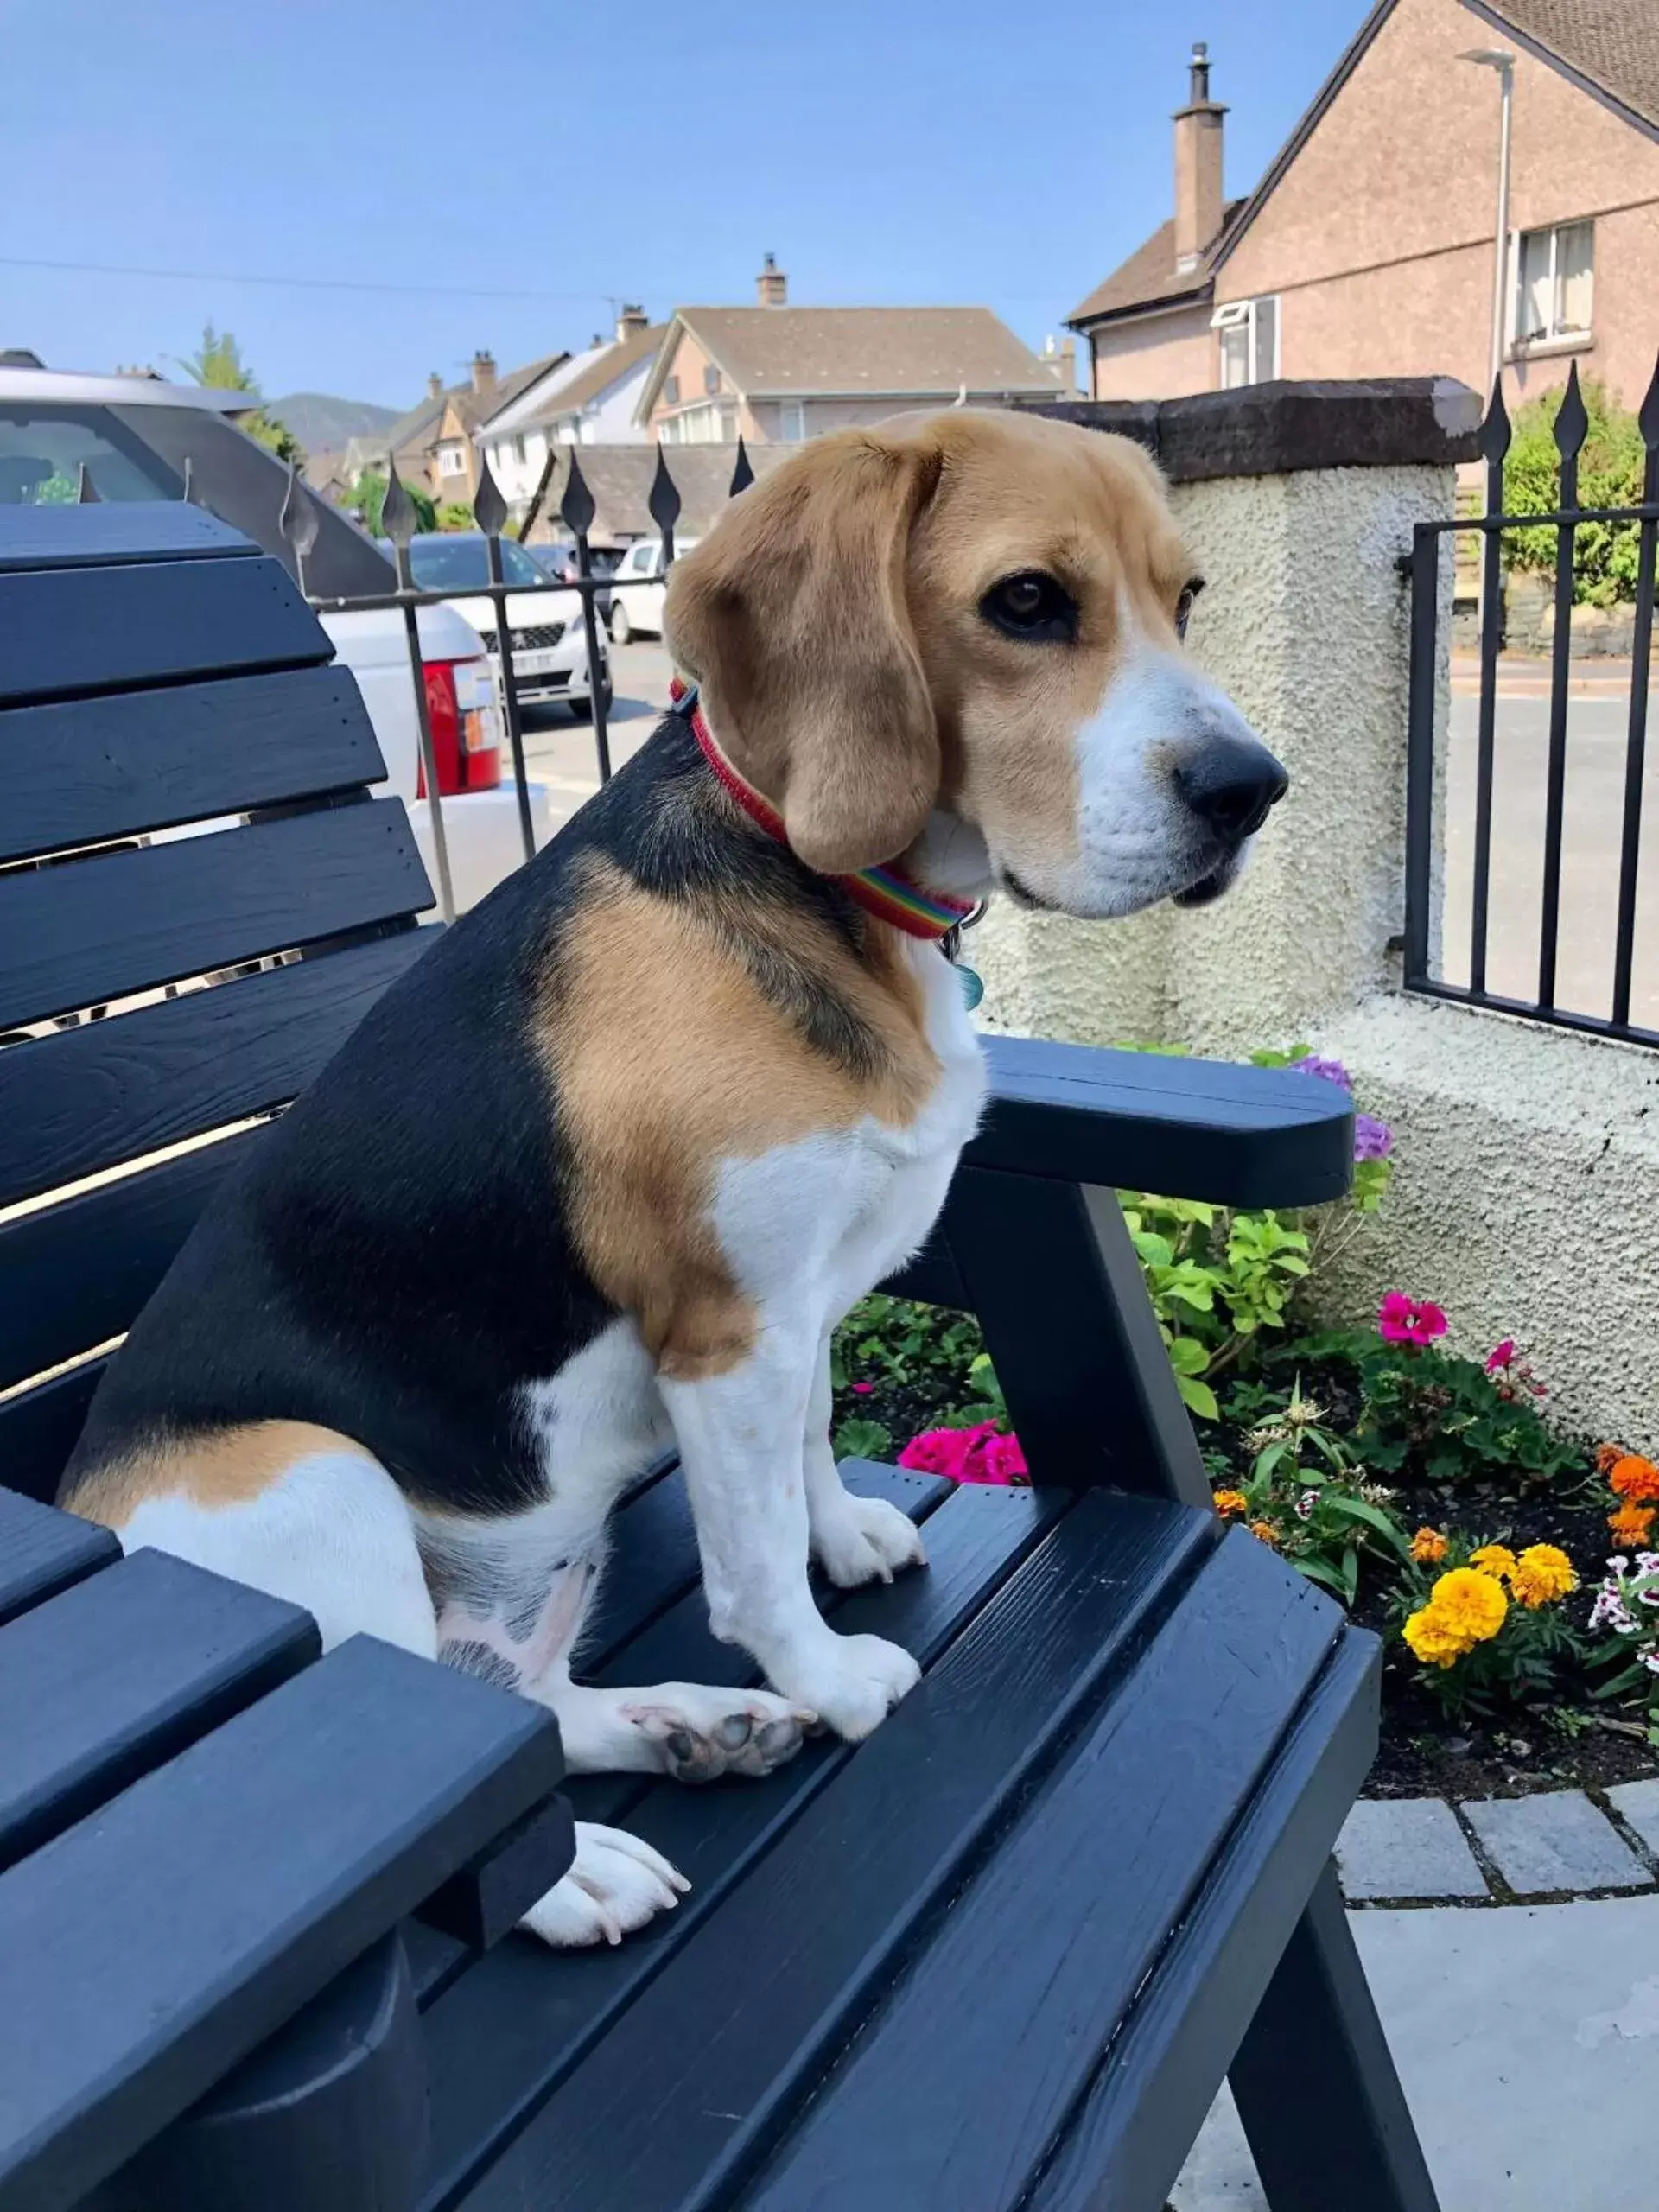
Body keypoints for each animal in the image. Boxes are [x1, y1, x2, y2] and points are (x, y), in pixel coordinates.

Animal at [61, 407, 1282, 1946]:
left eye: (1188, 599)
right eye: (1026, 603)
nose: (1253, 792)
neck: (819, 881)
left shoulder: (797, 1308)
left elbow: (805, 1456)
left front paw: (843, 1547)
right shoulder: (722, 1330)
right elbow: (749, 1557)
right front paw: (826, 1676)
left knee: (522, 1705)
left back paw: (688, 1730)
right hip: (317, 1478)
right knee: (419, 1787)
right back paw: (580, 1869)